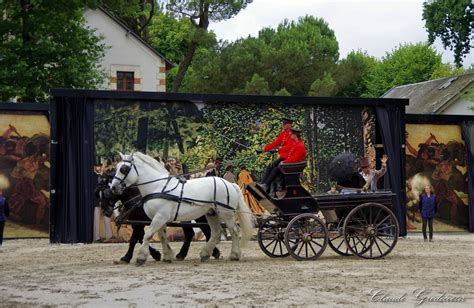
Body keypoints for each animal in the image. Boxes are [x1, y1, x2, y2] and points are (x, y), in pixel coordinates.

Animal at [110, 152, 256, 264]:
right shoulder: (159, 219)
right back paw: (205, 253)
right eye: (116, 168)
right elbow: (162, 236)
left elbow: (147, 235)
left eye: (123, 169)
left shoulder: (159, 217)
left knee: (234, 231)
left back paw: (234, 255)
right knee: (216, 232)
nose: (113, 187)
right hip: (211, 213)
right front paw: (167, 256)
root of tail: (229, 184)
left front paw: (141, 257)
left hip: (225, 213)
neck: (158, 187)